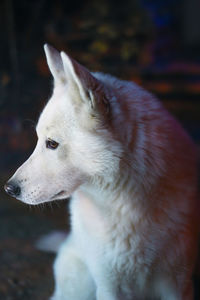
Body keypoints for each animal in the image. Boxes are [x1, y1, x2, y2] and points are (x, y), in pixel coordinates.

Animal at [4, 44, 198, 300]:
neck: (128, 204)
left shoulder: (178, 284)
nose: (9, 188)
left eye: (52, 144)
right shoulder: (110, 285)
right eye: (39, 140)